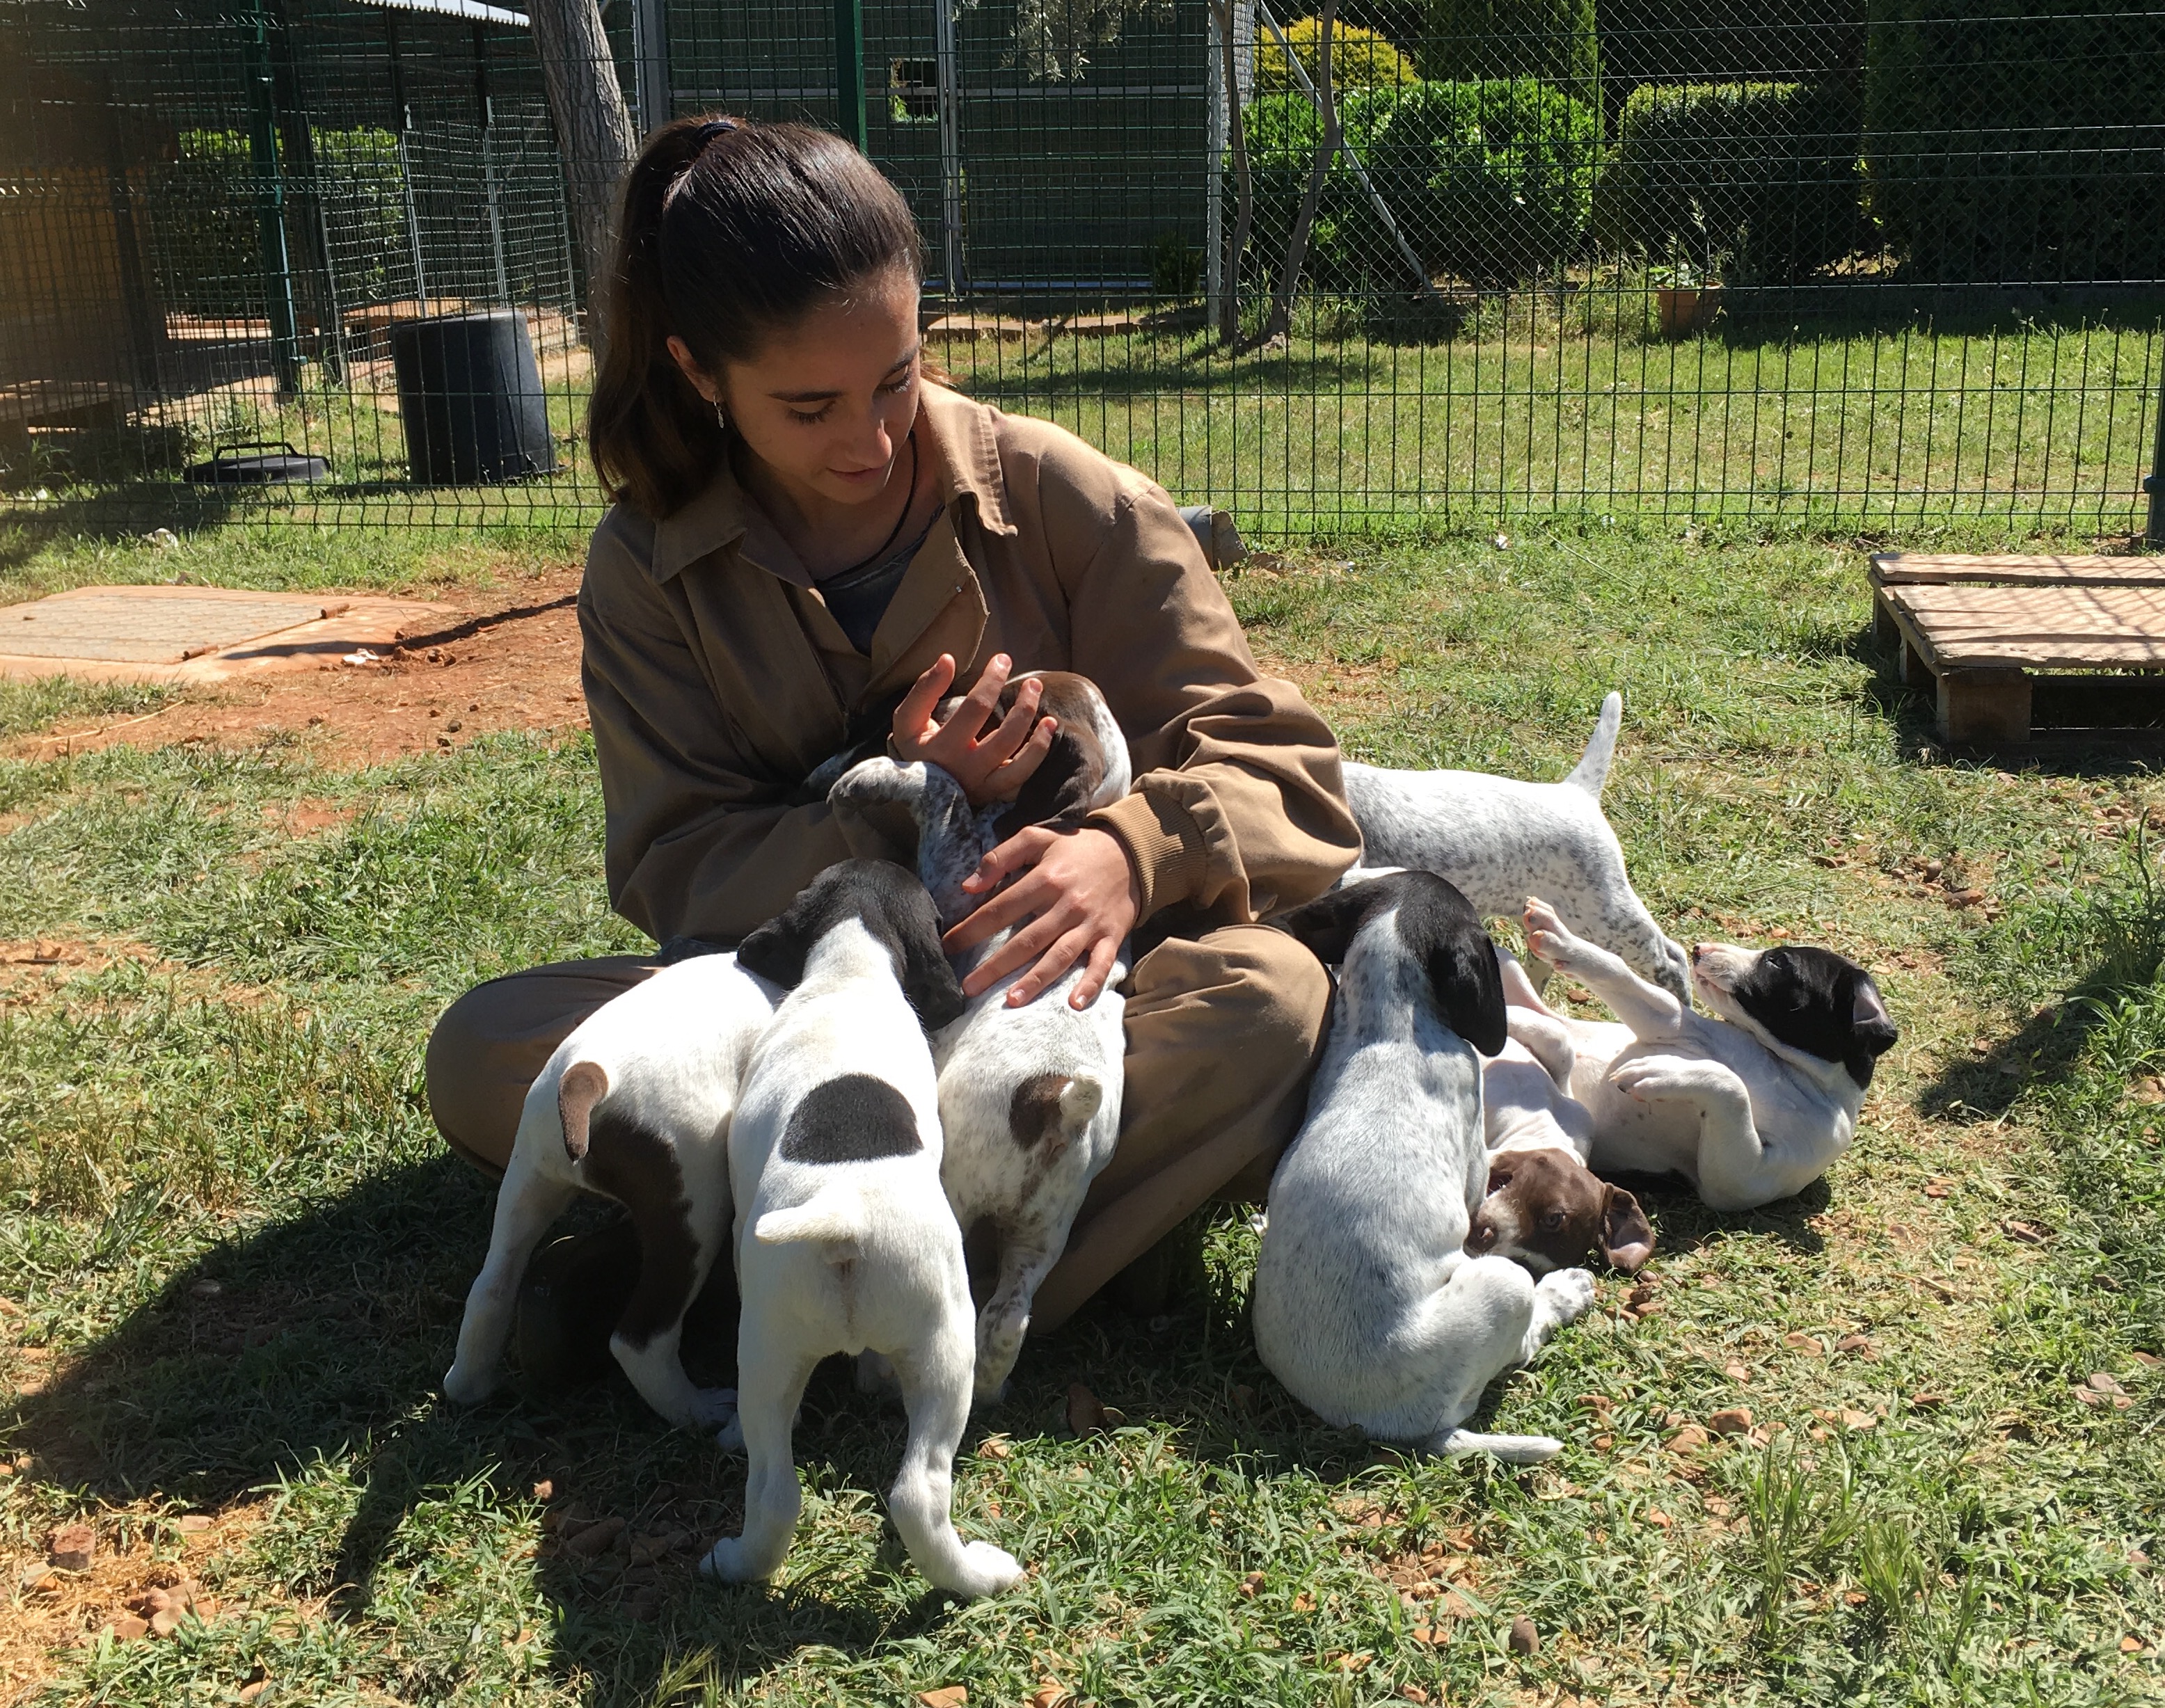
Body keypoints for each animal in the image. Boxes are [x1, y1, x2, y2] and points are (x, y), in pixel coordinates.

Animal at [442, 951, 781, 1431]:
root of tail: (590, 1079)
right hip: (694, 1210)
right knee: (640, 1339)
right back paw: (697, 1411)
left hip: (528, 1183)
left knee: (490, 1289)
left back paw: (468, 1385)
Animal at [706, 860, 1022, 1600]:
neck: (850, 969)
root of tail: (843, 1215)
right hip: (943, 1345)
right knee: (917, 1491)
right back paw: (978, 1575)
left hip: (770, 1350)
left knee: (775, 1489)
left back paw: (733, 1561)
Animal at [828, 669, 1131, 1404]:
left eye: (1006, 701)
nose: (927, 701)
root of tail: (1056, 1100)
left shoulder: (955, 866)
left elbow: (942, 785)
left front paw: (875, 772)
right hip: (1044, 1229)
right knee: (1006, 1319)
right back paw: (990, 1389)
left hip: (956, 1191)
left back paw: (876, 1375)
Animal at [1252, 871, 1598, 1463]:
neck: (1387, 1025)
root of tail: (1395, 1427)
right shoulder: (1475, 1166)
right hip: (1503, 1286)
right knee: (1523, 1338)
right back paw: (1565, 1290)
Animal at [1515, 897, 1898, 1210]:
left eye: (1777, 962)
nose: (1699, 948)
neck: (1787, 1072)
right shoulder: (1677, 1026)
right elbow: (1620, 974)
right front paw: (1562, 939)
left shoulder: (1742, 1180)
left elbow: (1731, 1086)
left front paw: (1662, 1074)